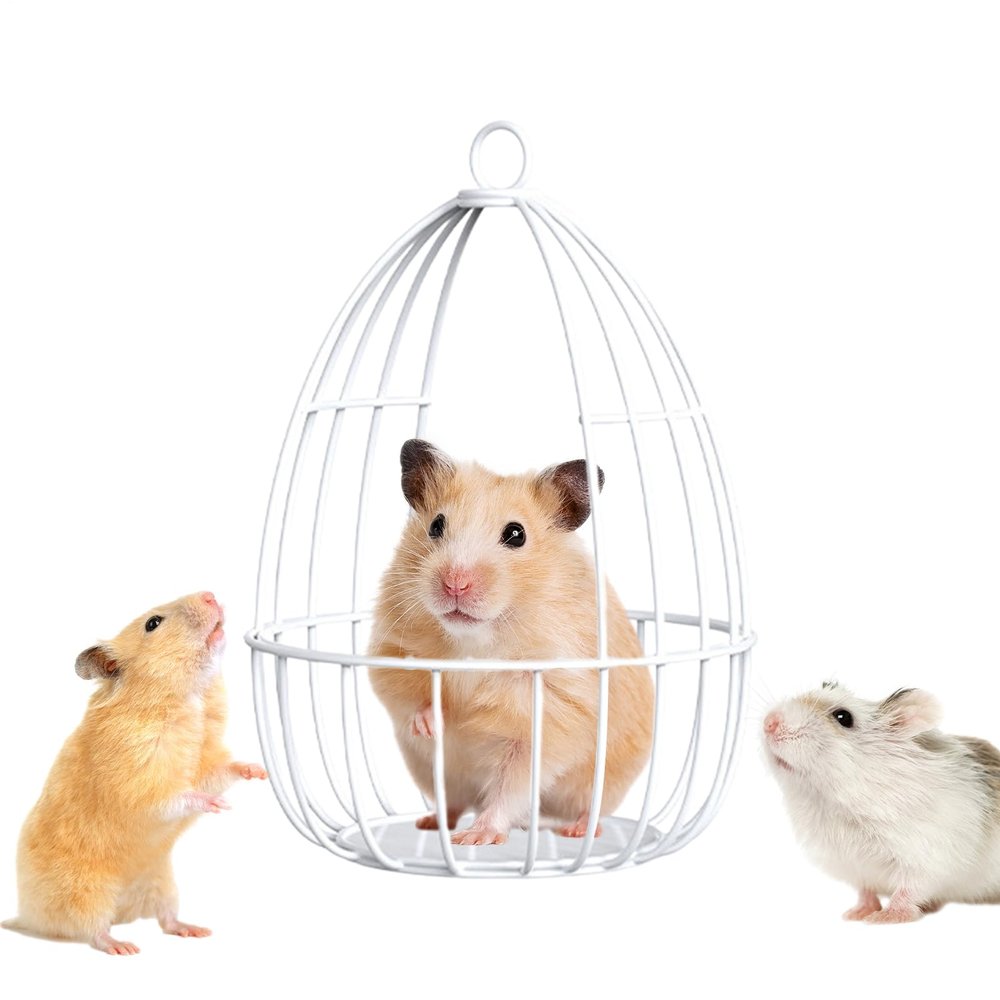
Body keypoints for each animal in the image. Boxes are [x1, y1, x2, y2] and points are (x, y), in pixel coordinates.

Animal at [2, 592, 267, 955]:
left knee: (166, 919)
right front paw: (215, 805)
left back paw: (194, 930)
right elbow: (175, 797)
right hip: (86, 892)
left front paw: (259, 771)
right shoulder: (139, 780)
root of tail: (28, 917)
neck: (189, 697)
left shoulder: (205, 761)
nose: (210, 595)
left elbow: (222, 771)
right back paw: (122, 947)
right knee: (93, 930)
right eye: (153, 623)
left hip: (162, 881)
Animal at [368, 439, 654, 847]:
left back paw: (577, 831)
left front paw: (476, 837)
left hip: (609, 779)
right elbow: (406, 693)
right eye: (436, 525)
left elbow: (512, 785)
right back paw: (431, 822)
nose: (455, 584)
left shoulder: (548, 716)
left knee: (592, 807)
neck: (474, 641)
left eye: (516, 534)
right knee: (453, 802)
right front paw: (434, 725)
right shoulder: (392, 648)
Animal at [763, 681, 1000, 923]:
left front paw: (885, 918)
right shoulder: (852, 863)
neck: (835, 802)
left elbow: (909, 888)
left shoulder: (928, 855)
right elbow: (865, 889)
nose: (769, 722)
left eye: (843, 717)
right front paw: (856, 913)